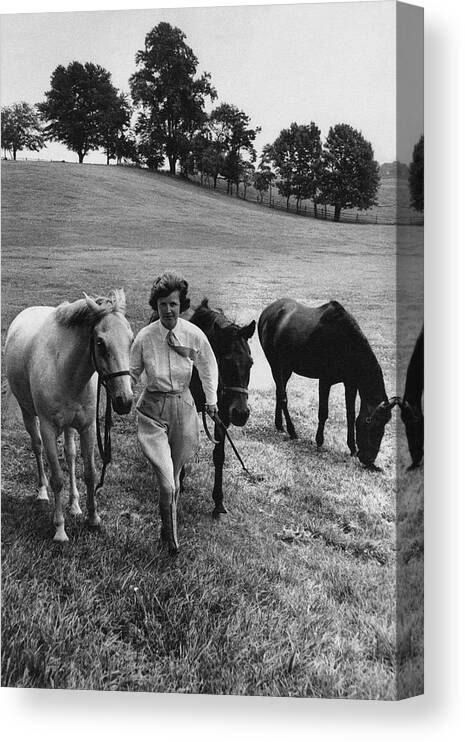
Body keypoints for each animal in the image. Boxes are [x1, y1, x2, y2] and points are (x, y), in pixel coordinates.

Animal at [4, 290, 134, 540]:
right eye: (100, 342)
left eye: (131, 340)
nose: (125, 401)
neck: (64, 368)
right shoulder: (48, 427)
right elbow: (57, 479)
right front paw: (60, 529)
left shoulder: (87, 427)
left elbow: (90, 473)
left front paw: (93, 519)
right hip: (29, 414)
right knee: (37, 447)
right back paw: (42, 492)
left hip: (70, 426)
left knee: (71, 455)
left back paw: (74, 504)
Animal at [188, 300, 254, 516]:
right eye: (225, 362)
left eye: (251, 363)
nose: (241, 413)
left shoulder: (223, 415)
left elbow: (219, 456)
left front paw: (218, 502)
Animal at [258, 298, 396, 468]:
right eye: (370, 421)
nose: (369, 460)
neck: (346, 344)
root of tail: (267, 312)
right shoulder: (325, 381)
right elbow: (323, 413)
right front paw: (319, 442)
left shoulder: (350, 385)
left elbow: (350, 416)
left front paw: (351, 448)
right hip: (275, 365)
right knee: (283, 397)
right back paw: (292, 431)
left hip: (286, 368)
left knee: (279, 392)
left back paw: (279, 425)